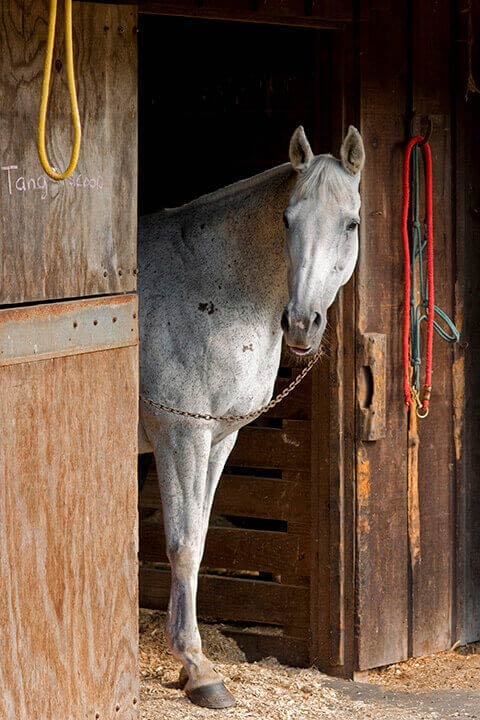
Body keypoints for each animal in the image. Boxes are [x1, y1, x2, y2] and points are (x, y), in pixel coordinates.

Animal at [138, 125, 365, 708]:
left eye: (350, 223)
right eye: (287, 218)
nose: (302, 323)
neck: (207, 284)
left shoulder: (218, 440)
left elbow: (198, 538)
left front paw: (190, 666)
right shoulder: (182, 435)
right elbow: (184, 544)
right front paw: (199, 670)